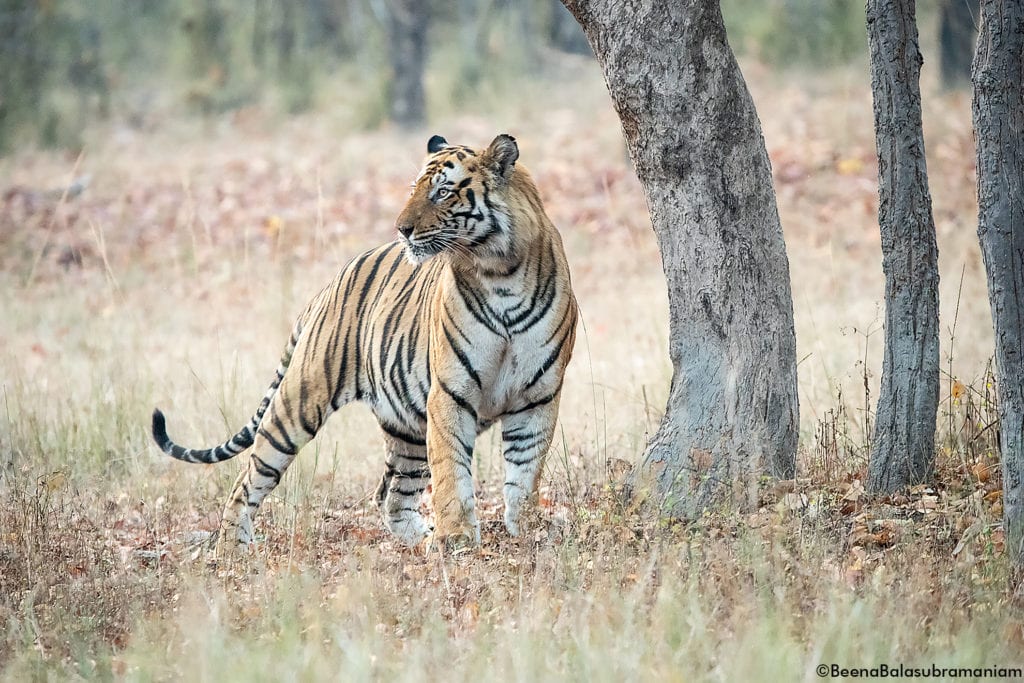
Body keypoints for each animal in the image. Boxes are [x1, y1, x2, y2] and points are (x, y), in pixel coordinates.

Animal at [149, 135, 581, 557]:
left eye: (442, 192)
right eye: (414, 190)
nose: (401, 229)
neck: (499, 271)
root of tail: (328, 286)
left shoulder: (538, 396)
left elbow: (525, 472)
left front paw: (526, 532)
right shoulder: (451, 392)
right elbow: (451, 470)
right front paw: (456, 537)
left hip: (407, 428)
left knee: (392, 496)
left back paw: (420, 540)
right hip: (298, 406)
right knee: (250, 477)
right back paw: (232, 548)